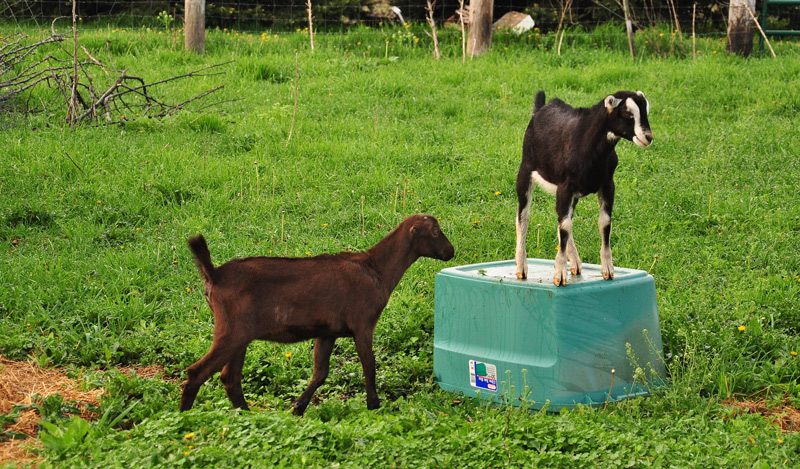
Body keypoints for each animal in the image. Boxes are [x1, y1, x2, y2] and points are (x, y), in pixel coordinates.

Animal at [180, 214, 454, 415]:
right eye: (434, 232)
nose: (451, 251)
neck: (376, 269)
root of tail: (213, 274)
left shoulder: (327, 332)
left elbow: (320, 373)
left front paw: (298, 408)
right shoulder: (363, 323)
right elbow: (369, 364)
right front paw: (374, 405)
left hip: (240, 335)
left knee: (230, 379)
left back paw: (247, 416)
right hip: (232, 331)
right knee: (197, 372)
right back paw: (184, 417)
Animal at [514, 90, 653, 286]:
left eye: (646, 111)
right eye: (628, 113)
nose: (648, 137)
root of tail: (541, 108)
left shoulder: (607, 184)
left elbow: (604, 223)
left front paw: (608, 269)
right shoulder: (565, 186)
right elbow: (565, 226)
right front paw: (560, 275)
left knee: (564, 219)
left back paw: (575, 262)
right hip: (526, 170)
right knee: (524, 217)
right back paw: (521, 267)